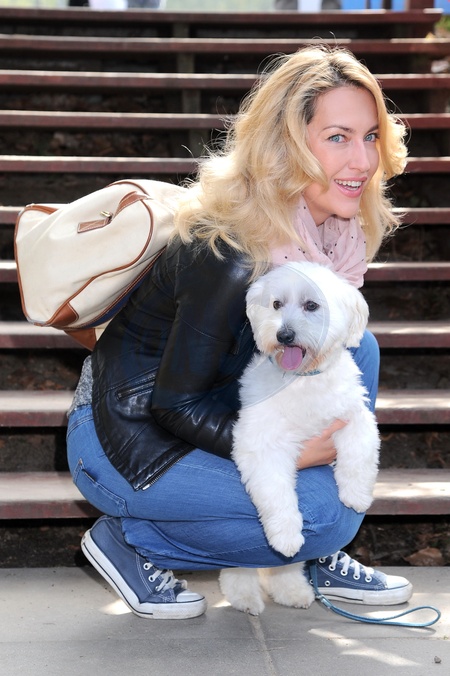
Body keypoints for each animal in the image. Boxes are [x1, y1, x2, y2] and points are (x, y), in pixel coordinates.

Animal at [219, 261, 380, 615]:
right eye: (277, 304)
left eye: (311, 305)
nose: (284, 335)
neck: (302, 379)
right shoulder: (261, 444)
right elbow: (276, 494)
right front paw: (286, 536)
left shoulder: (355, 415)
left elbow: (359, 452)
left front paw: (356, 494)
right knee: (239, 566)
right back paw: (244, 595)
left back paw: (291, 590)